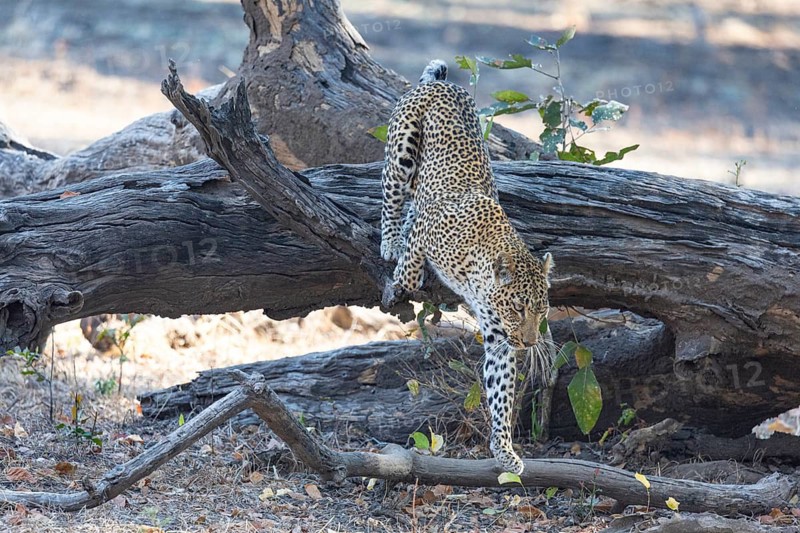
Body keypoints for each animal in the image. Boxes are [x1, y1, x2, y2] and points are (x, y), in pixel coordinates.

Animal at [380, 59, 554, 475]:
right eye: (518, 308)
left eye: (542, 311)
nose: (530, 342)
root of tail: (443, 84)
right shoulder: (429, 229)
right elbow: (411, 263)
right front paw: (402, 279)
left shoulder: (499, 338)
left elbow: (501, 390)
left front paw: (504, 449)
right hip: (401, 150)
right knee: (392, 199)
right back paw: (390, 241)